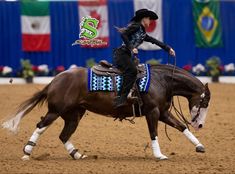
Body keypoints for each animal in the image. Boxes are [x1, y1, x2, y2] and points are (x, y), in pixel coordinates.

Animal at [1, 63, 211, 160]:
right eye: (205, 102)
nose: (200, 124)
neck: (161, 81)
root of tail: (54, 81)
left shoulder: (164, 113)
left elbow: (182, 126)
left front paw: (200, 146)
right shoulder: (152, 113)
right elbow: (154, 134)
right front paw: (159, 155)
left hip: (74, 115)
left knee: (63, 135)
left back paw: (77, 155)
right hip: (56, 111)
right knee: (41, 126)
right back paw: (27, 151)